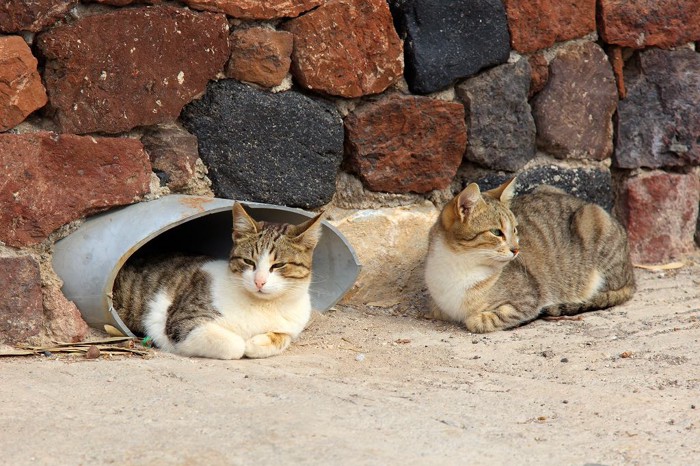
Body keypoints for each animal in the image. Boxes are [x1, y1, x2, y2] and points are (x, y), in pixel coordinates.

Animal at [113, 202, 324, 358]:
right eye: (248, 261)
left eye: (278, 265)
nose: (259, 282)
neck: (264, 306)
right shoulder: (183, 323)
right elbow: (236, 345)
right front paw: (244, 343)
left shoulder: (291, 328)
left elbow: (282, 337)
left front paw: (257, 342)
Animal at [424, 177, 636, 334]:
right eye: (496, 232)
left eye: (515, 229)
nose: (516, 249)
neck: (458, 266)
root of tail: (632, 275)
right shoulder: (437, 304)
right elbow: (436, 310)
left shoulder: (529, 298)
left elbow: (482, 320)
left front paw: (479, 319)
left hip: (592, 220)